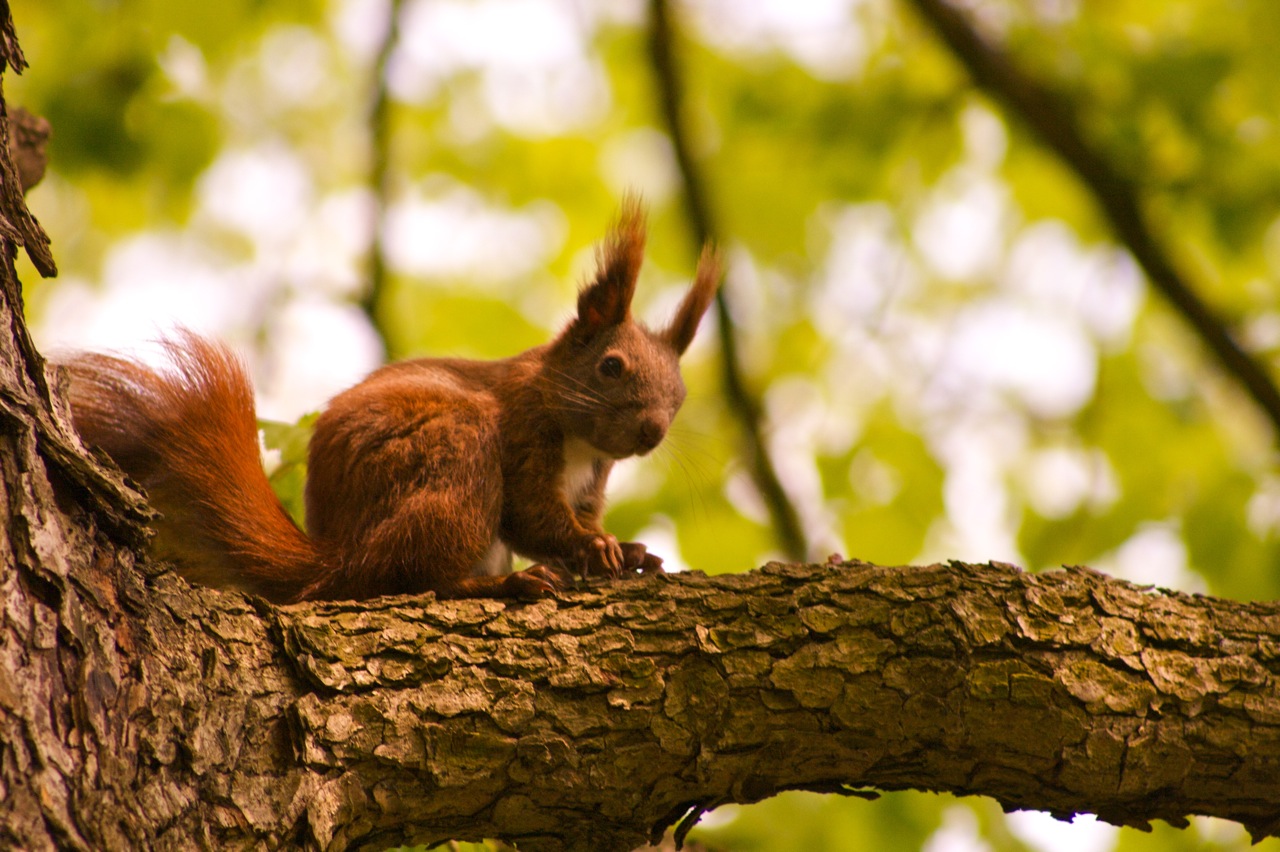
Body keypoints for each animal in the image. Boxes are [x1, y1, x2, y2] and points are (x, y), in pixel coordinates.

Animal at [63, 199, 721, 603]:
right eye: (611, 367)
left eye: (680, 394)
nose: (652, 431)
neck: (580, 439)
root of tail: (338, 559)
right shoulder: (522, 432)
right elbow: (534, 514)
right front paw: (594, 547)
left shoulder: (591, 481)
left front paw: (629, 551)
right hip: (454, 453)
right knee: (413, 579)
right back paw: (500, 586)